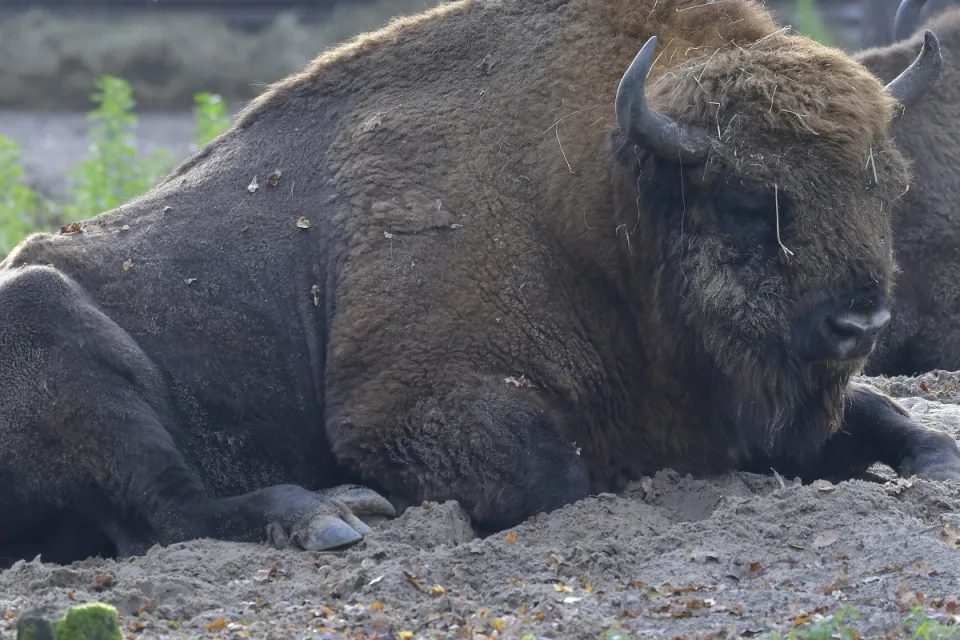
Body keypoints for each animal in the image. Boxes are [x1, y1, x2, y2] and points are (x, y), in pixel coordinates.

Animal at [0, 0, 958, 567]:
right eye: (749, 202)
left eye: (884, 186)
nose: (861, 321)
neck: (600, 207)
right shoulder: (406, 406)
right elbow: (557, 477)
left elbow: (894, 422)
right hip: (51, 321)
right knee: (168, 509)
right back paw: (334, 512)